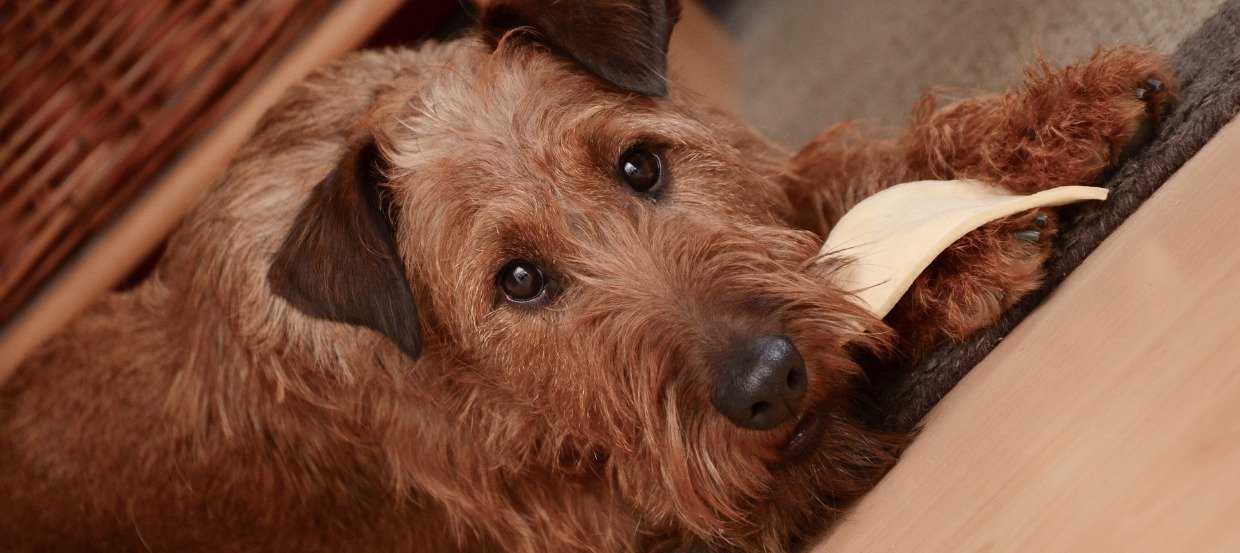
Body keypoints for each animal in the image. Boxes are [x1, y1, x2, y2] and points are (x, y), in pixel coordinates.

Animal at [0, 2, 1170, 550]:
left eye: (640, 165)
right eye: (518, 279)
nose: (768, 380)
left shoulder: (766, 189)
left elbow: (840, 181)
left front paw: (1045, 124)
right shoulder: (648, 517)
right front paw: (961, 253)